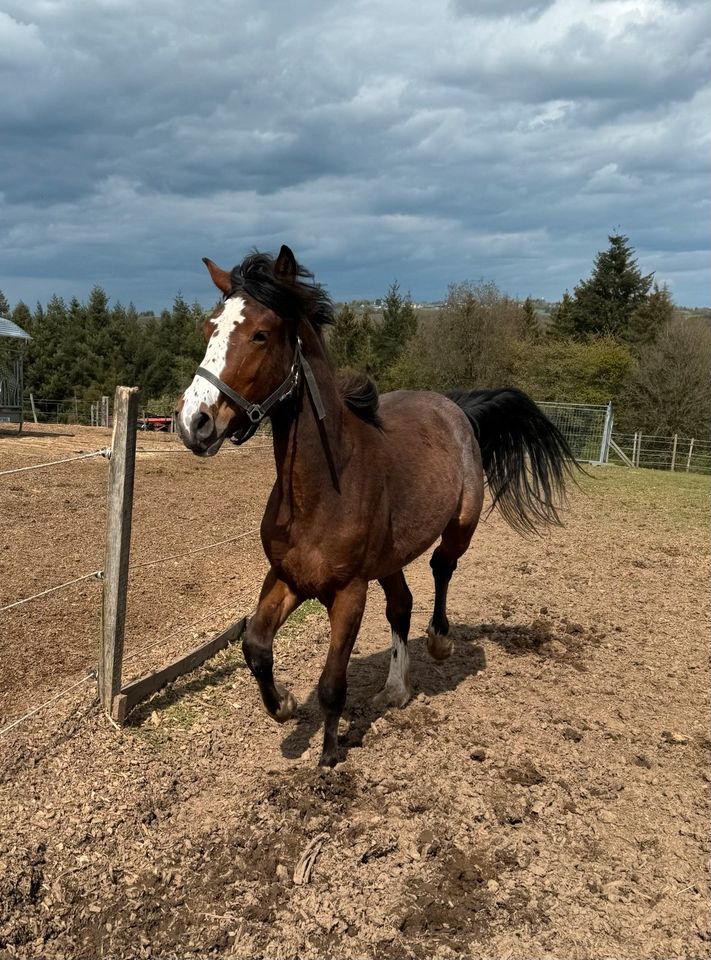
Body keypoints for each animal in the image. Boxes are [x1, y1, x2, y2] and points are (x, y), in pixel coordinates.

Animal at [175, 246, 576, 764]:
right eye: (210, 328)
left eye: (261, 334)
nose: (193, 422)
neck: (323, 488)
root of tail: (455, 408)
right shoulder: (288, 576)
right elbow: (256, 645)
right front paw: (284, 705)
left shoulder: (348, 592)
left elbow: (331, 682)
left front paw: (329, 754)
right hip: (389, 558)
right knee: (401, 605)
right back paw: (395, 690)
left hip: (460, 525)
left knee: (442, 567)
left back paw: (440, 642)